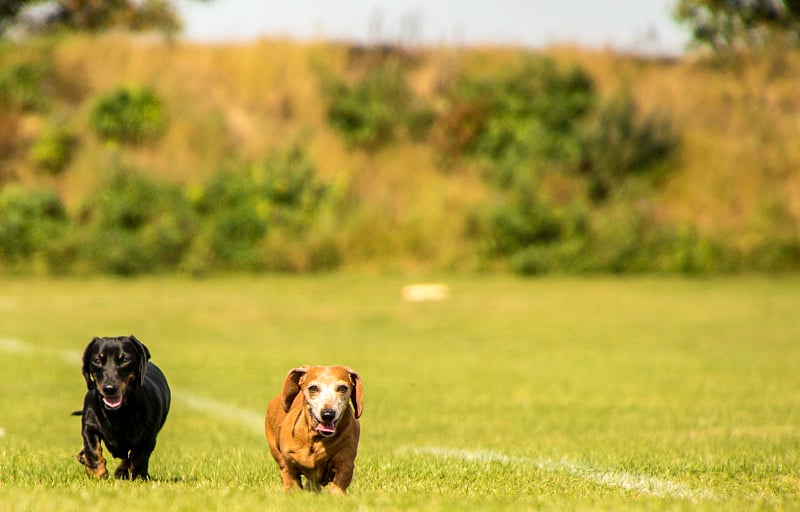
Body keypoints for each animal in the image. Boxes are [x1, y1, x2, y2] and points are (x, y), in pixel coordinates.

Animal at [74, 336, 170, 480]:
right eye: (97, 360)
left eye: (125, 360)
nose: (109, 389)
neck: (116, 414)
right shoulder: (89, 427)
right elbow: (92, 449)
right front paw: (98, 472)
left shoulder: (149, 437)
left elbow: (138, 457)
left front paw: (138, 476)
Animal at [266, 366, 366, 494]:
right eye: (313, 388)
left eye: (342, 388)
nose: (328, 414)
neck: (317, 439)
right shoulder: (288, 464)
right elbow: (291, 482)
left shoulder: (345, 462)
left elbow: (339, 484)